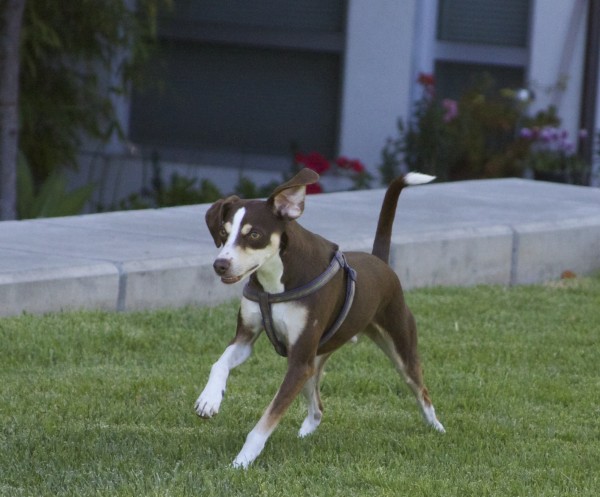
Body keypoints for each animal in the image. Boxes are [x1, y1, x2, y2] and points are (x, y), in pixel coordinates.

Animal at [195, 169, 442, 466]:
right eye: (223, 232)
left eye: (254, 234)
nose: (220, 265)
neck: (276, 283)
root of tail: (381, 262)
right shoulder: (247, 340)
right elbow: (218, 364)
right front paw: (209, 399)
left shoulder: (299, 362)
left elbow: (266, 420)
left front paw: (241, 462)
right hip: (313, 362)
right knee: (318, 407)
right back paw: (306, 432)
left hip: (398, 347)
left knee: (421, 390)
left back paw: (436, 427)